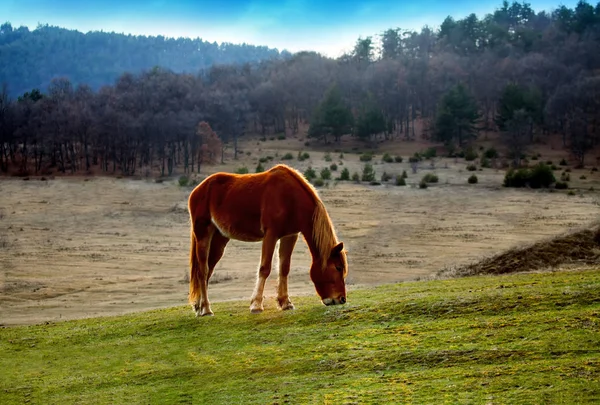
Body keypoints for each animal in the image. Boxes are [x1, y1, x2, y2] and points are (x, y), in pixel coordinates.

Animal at [186, 163, 346, 314]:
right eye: (338, 267)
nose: (342, 299)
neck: (290, 198)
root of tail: (198, 189)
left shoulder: (290, 236)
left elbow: (284, 268)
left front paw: (285, 302)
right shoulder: (271, 234)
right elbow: (265, 268)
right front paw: (256, 305)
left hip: (219, 239)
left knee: (209, 269)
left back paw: (199, 306)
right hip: (203, 234)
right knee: (202, 270)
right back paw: (206, 309)